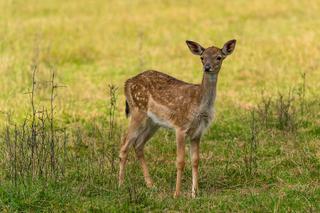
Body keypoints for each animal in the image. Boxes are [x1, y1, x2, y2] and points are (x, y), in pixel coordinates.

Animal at [117, 39, 235, 197]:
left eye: (219, 57)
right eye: (202, 57)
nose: (207, 67)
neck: (199, 103)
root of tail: (127, 82)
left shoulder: (198, 132)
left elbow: (195, 160)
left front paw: (195, 193)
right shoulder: (180, 126)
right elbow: (180, 161)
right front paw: (176, 194)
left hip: (153, 122)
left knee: (138, 144)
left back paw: (151, 185)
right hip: (137, 111)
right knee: (124, 145)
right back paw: (121, 185)